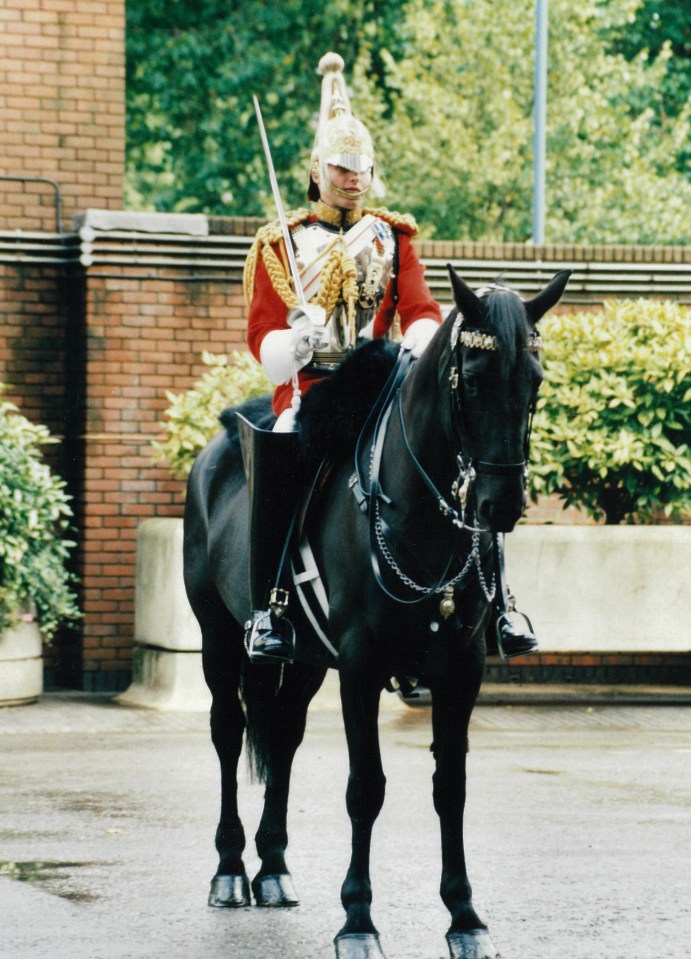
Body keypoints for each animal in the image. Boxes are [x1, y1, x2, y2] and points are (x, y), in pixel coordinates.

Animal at [181, 266, 572, 959]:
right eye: (473, 378)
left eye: (535, 381)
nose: (500, 506)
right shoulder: (361, 667)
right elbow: (366, 788)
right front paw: (358, 920)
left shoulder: (460, 671)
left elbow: (451, 787)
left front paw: (465, 917)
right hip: (218, 638)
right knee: (228, 731)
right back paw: (229, 869)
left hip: (307, 659)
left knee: (284, 736)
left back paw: (273, 868)